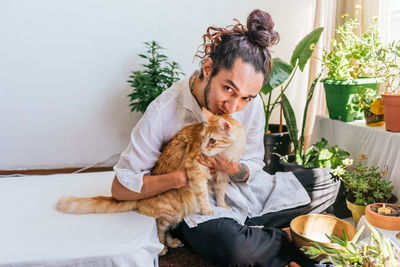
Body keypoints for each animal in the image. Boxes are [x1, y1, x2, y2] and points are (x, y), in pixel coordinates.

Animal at [54, 109, 245, 255]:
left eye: (212, 140)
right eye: (203, 137)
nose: (204, 148)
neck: (224, 153)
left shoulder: (221, 172)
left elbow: (220, 191)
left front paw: (222, 205)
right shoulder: (195, 169)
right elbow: (202, 193)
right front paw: (207, 210)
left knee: (166, 229)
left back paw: (172, 242)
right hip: (171, 210)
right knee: (159, 228)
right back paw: (162, 249)